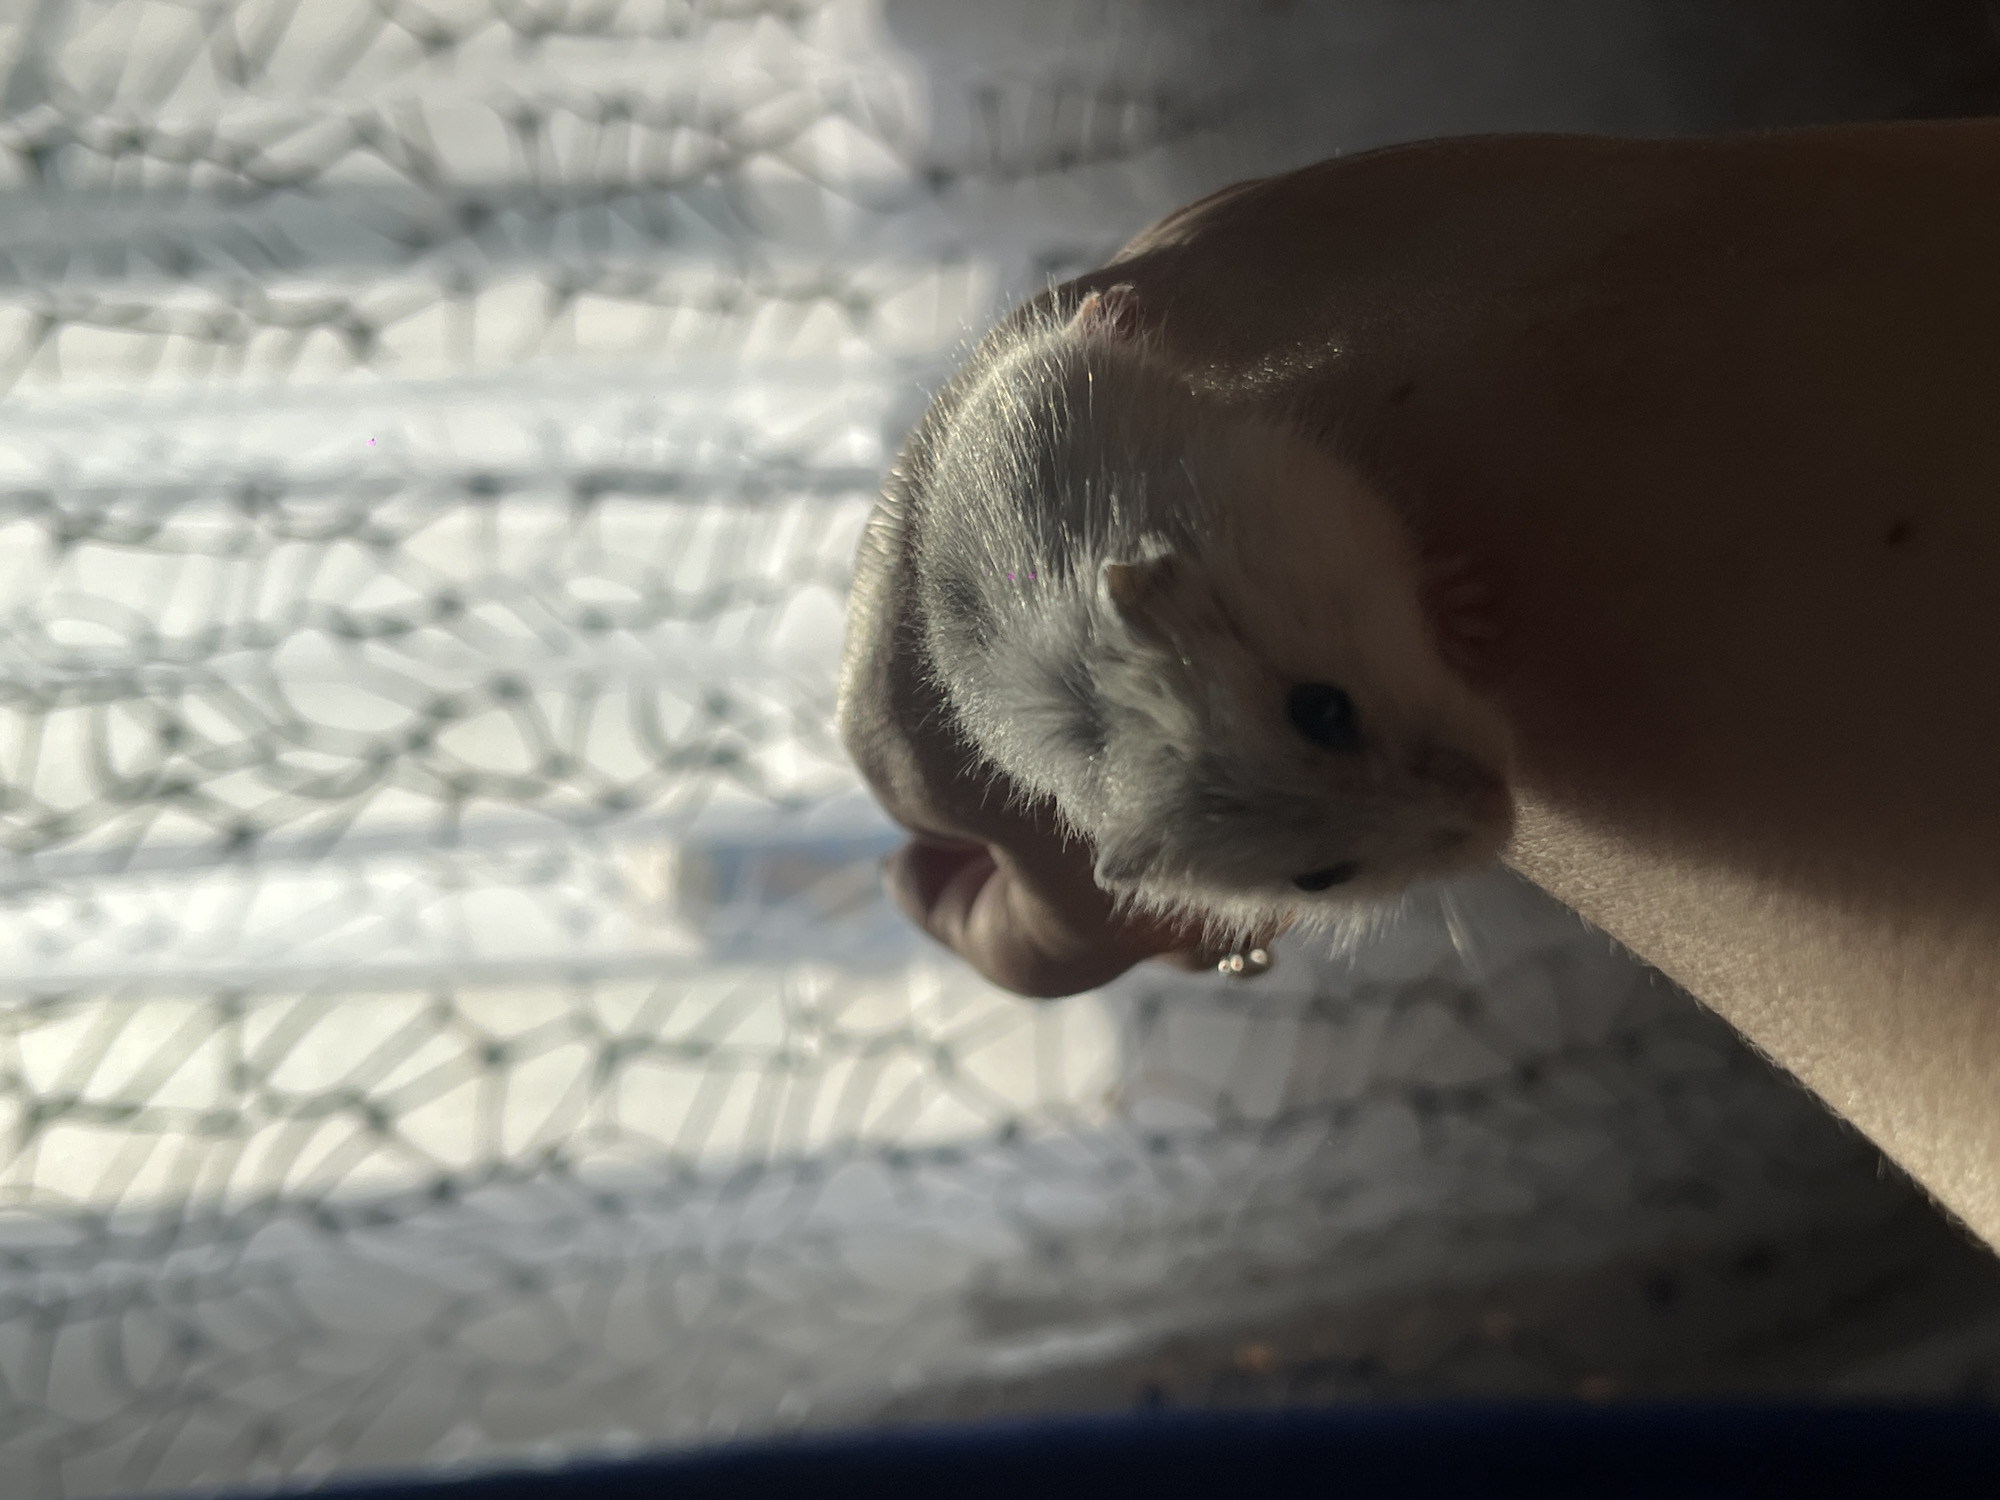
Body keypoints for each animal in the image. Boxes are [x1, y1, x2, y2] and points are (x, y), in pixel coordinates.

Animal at [909, 285, 1513, 942]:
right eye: (1319, 879)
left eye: (1320, 709)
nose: (1499, 817)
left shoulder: (1336, 502)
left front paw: (1471, 608)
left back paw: (1111, 304)